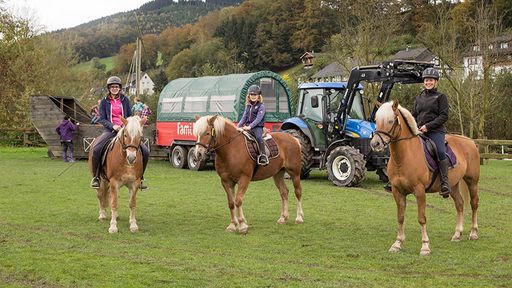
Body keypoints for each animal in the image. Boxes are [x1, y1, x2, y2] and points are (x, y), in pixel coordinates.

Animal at [370, 100, 478, 255]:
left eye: (390, 121)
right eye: (376, 120)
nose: (375, 144)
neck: (403, 157)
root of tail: (469, 141)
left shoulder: (419, 191)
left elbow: (421, 218)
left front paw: (425, 246)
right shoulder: (397, 191)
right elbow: (400, 217)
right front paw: (397, 244)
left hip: (472, 181)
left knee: (474, 204)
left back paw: (473, 233)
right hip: (453, 185)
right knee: (460, 204)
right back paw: (457, 234)